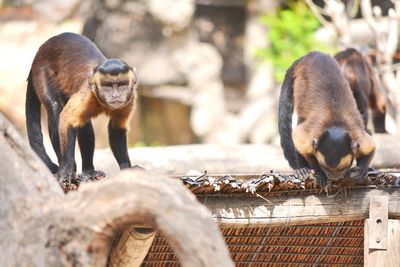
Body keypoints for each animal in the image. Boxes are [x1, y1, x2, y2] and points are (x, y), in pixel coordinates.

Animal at [26, 31, 139, 184]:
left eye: (122, 84)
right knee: (55, 108)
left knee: (83, 123)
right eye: (108, 85)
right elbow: (66, 119)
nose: (115, 95)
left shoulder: (130, 99)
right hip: (40, 70)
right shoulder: (86, 94)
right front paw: (66, 169)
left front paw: (127, 169)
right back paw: (68, 168)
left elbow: (116, 129)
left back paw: (89, 172)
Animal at [278, 51, 376, 187]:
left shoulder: (357, 135)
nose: (333, 178)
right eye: (325, 168)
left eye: (342, 168)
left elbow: (371, 147)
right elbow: (300, 140)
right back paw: (302, 169)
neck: (336, 124)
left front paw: (360, 171)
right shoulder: (312, 134)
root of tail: (311, 54)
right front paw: (319, 172)